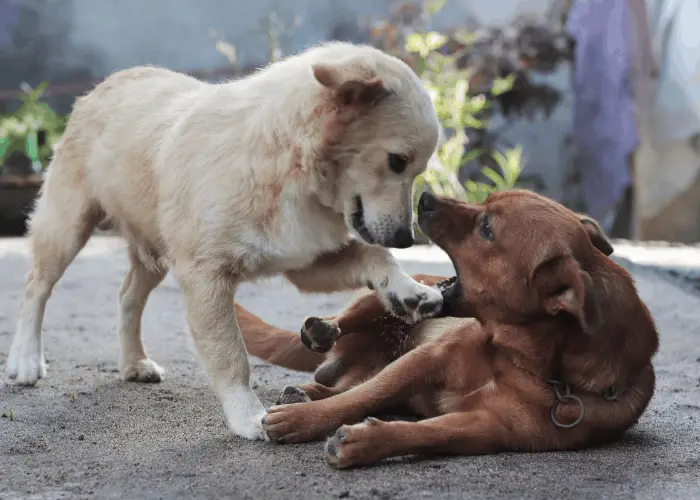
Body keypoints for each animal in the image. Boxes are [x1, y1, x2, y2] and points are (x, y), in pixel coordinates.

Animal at [6, 44, 442, 442]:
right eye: (397, 162)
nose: (407, 239)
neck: (284, 163)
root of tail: (111, 81)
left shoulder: (304, 262)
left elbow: (374, 254)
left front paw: (409, 290)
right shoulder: (206, 278)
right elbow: (231, 355)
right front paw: (247, 416)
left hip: (155, 253)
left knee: (128, 296)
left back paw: (133, 362)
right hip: (68, 227)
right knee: (35, 288)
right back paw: (25, 360)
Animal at [235, 189, 656, 466]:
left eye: (486, 228)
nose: (424, 196)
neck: (526, 362)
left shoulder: (489, 427)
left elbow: (433, 432)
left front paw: (365, 443)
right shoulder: (426, 359)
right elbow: (361, 399)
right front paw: (304, 421)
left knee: (343, 384)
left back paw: (304, 392)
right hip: (390, 296)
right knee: (351, 350)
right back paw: (322, 334)